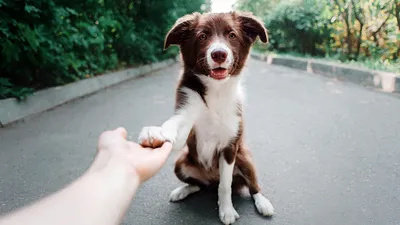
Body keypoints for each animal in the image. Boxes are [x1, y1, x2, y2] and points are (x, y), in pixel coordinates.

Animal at [138, 11, 276, 224]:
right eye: (202, 36)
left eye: (232, 35)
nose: (219, 54)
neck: (216, 92)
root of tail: (210, 179)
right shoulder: (186, 117)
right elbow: (173, 125)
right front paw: (155, 132)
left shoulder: (230, 146)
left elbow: (225, 186)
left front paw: (226, 211)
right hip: (181, 162)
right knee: (198, 185)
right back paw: (182, 190)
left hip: (245, 158)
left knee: (252, 186)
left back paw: (263, 203)